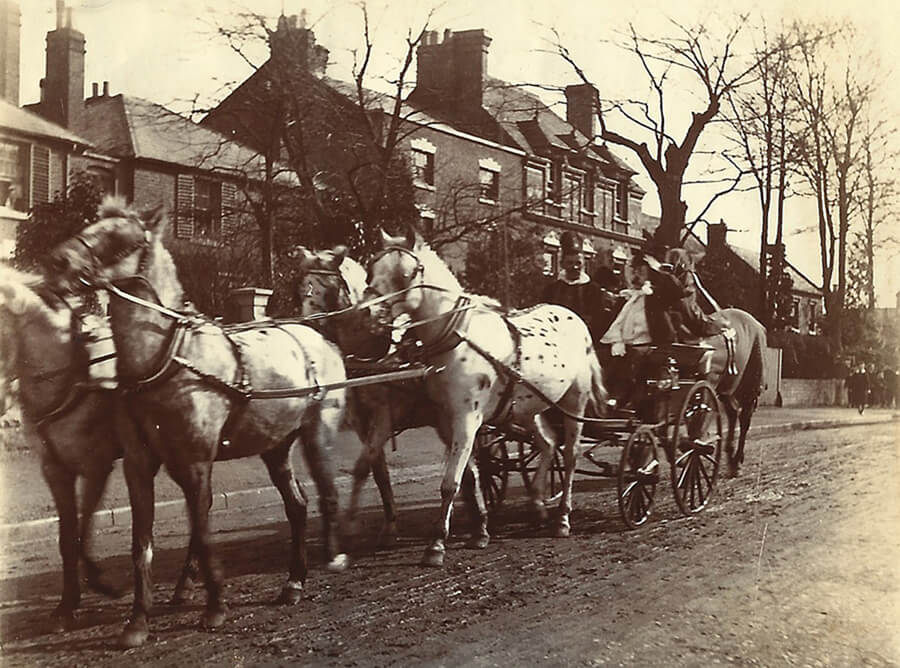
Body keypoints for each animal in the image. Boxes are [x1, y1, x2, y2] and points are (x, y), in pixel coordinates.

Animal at [45, 198, 350, 648]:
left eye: (118, 238)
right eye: (90, 225)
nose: (56, 261)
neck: (167, 358)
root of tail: (315, 334)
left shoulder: (196, 461)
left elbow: (204, 533)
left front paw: (215, 607)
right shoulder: (139, 465)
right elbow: (141, 542)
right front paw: (137, 621)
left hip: (317, 433)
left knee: (327, 494)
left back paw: (329, 558)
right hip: (274, 445)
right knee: (297, 506)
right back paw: (293, 582)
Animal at [364, 228, 604, 564]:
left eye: (404, 274)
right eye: (371, 269)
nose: (367, 313)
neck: (458, 338)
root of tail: (573, 316)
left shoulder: (467, 418)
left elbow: (450, 482)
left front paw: (436, 544)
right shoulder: (446, 418)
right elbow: (469, 474)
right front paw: (478, 530)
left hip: (574, 402)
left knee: (569, 456)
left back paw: (562, 518)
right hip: (528, 408)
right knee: (547, 444)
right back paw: (537, 505)